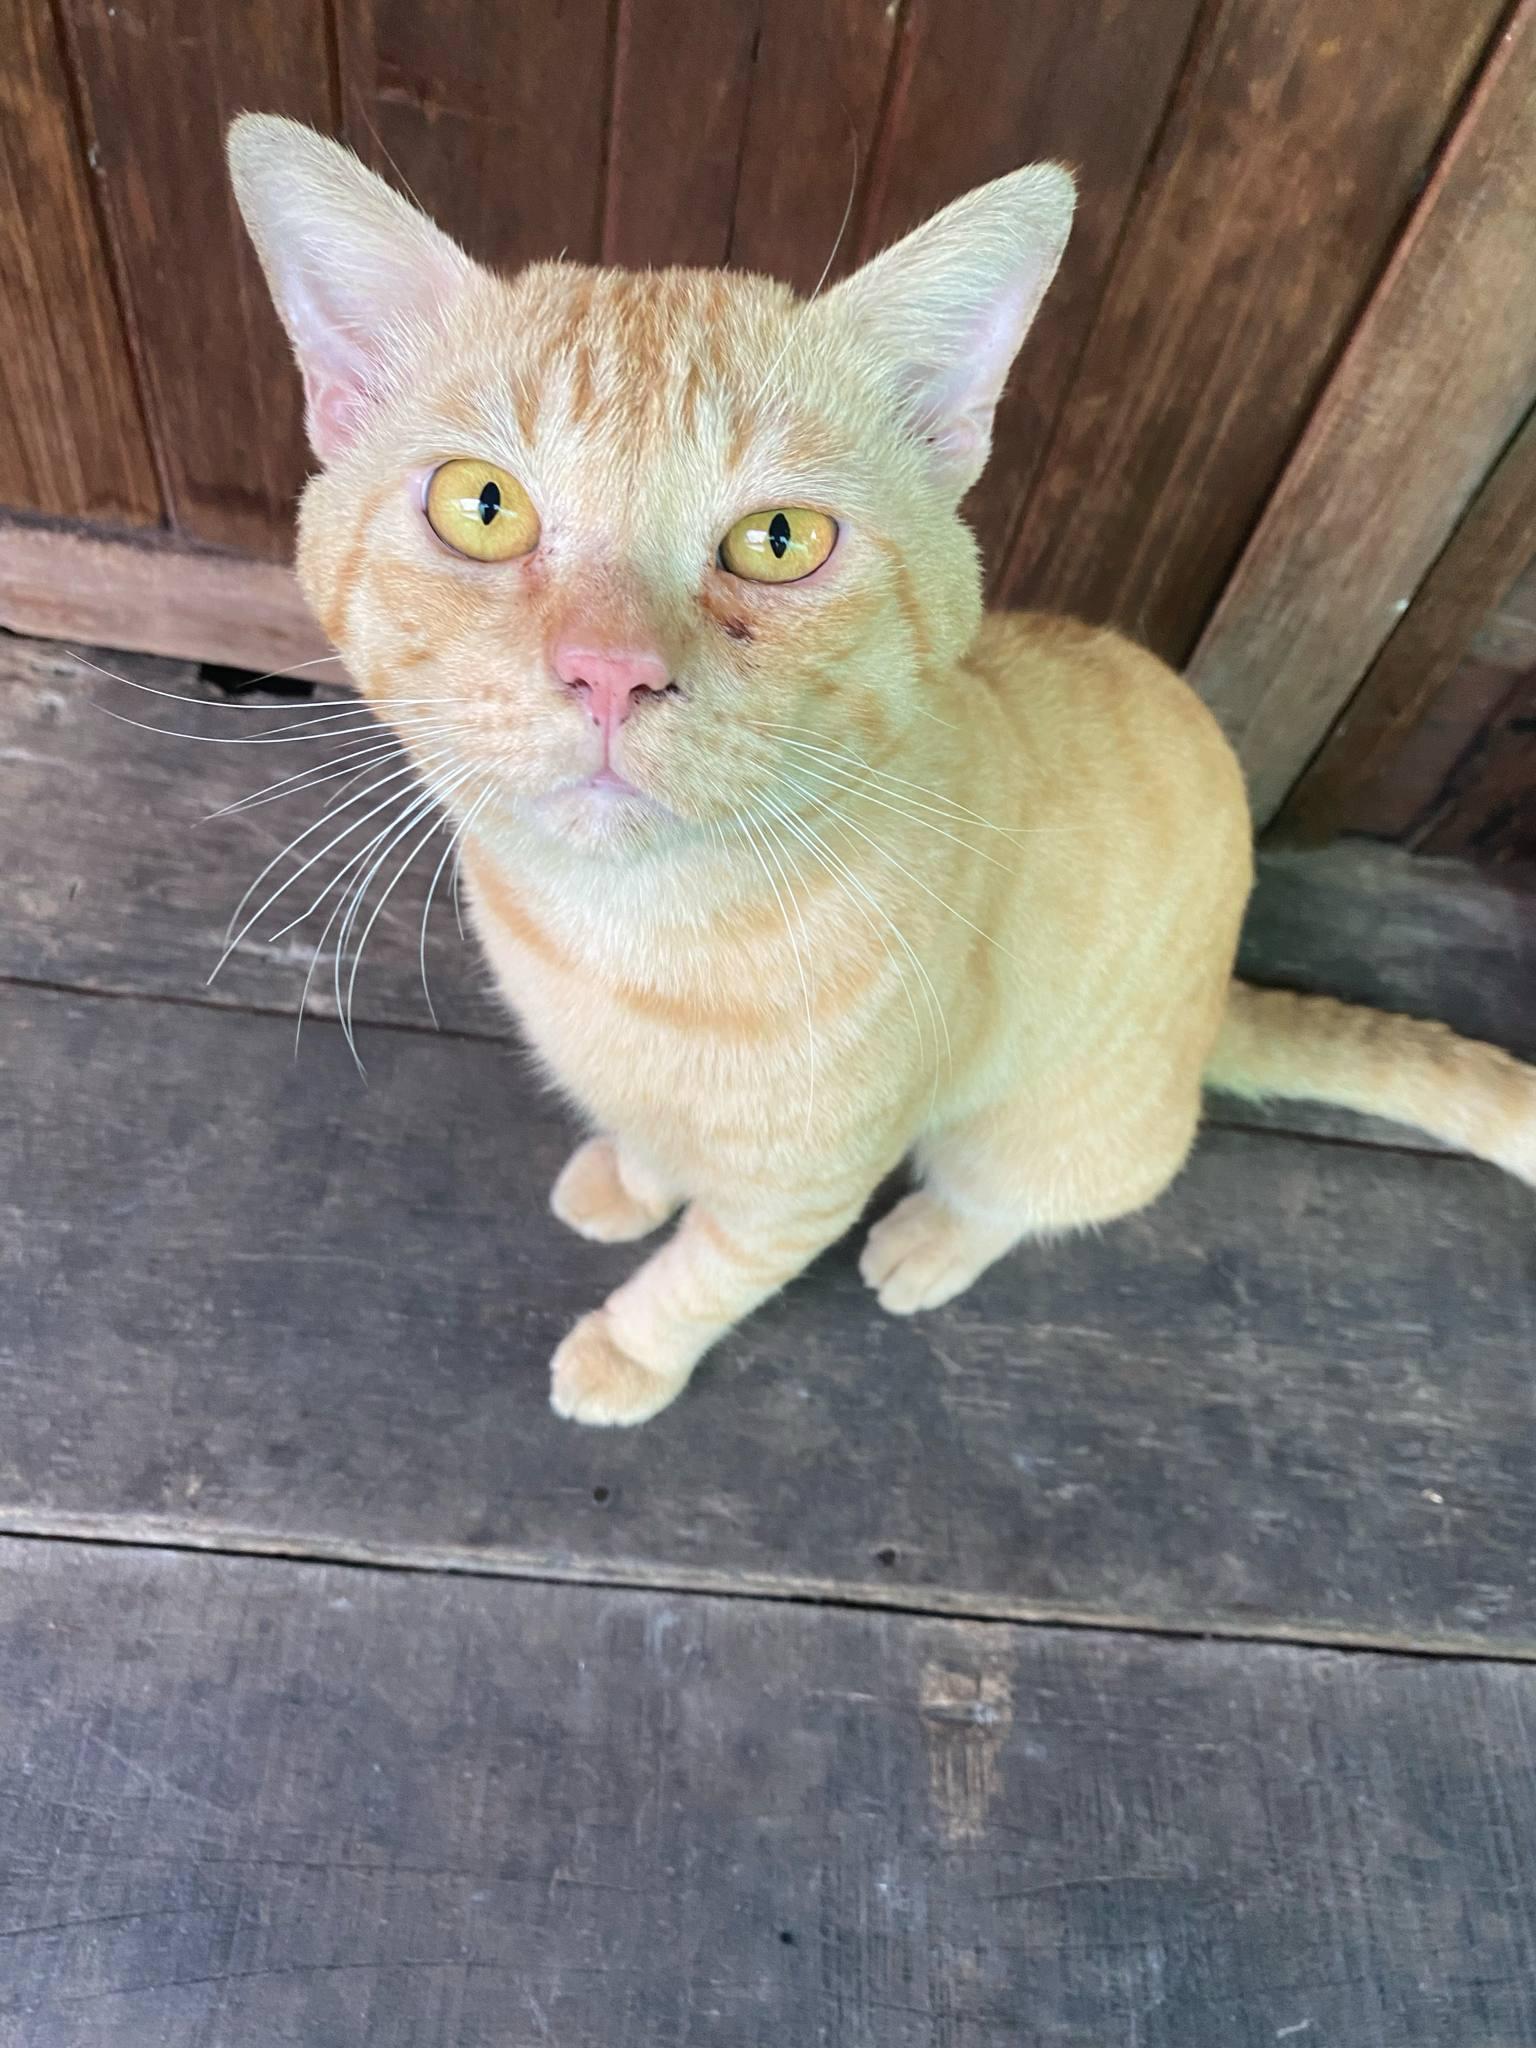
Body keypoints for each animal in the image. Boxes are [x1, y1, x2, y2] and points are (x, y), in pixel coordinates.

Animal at [228, 115, 1535, 1427]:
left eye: (780, 541)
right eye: (482, 506)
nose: (611, 671)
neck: (631, 935)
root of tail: (1221, 1000)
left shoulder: (805, 1185)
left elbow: (707, 1273)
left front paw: (629, 1351)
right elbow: (654, 1140)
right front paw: (633, 1176)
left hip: (1051, 1127)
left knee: (1026, 1194)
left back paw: (932, 1243)